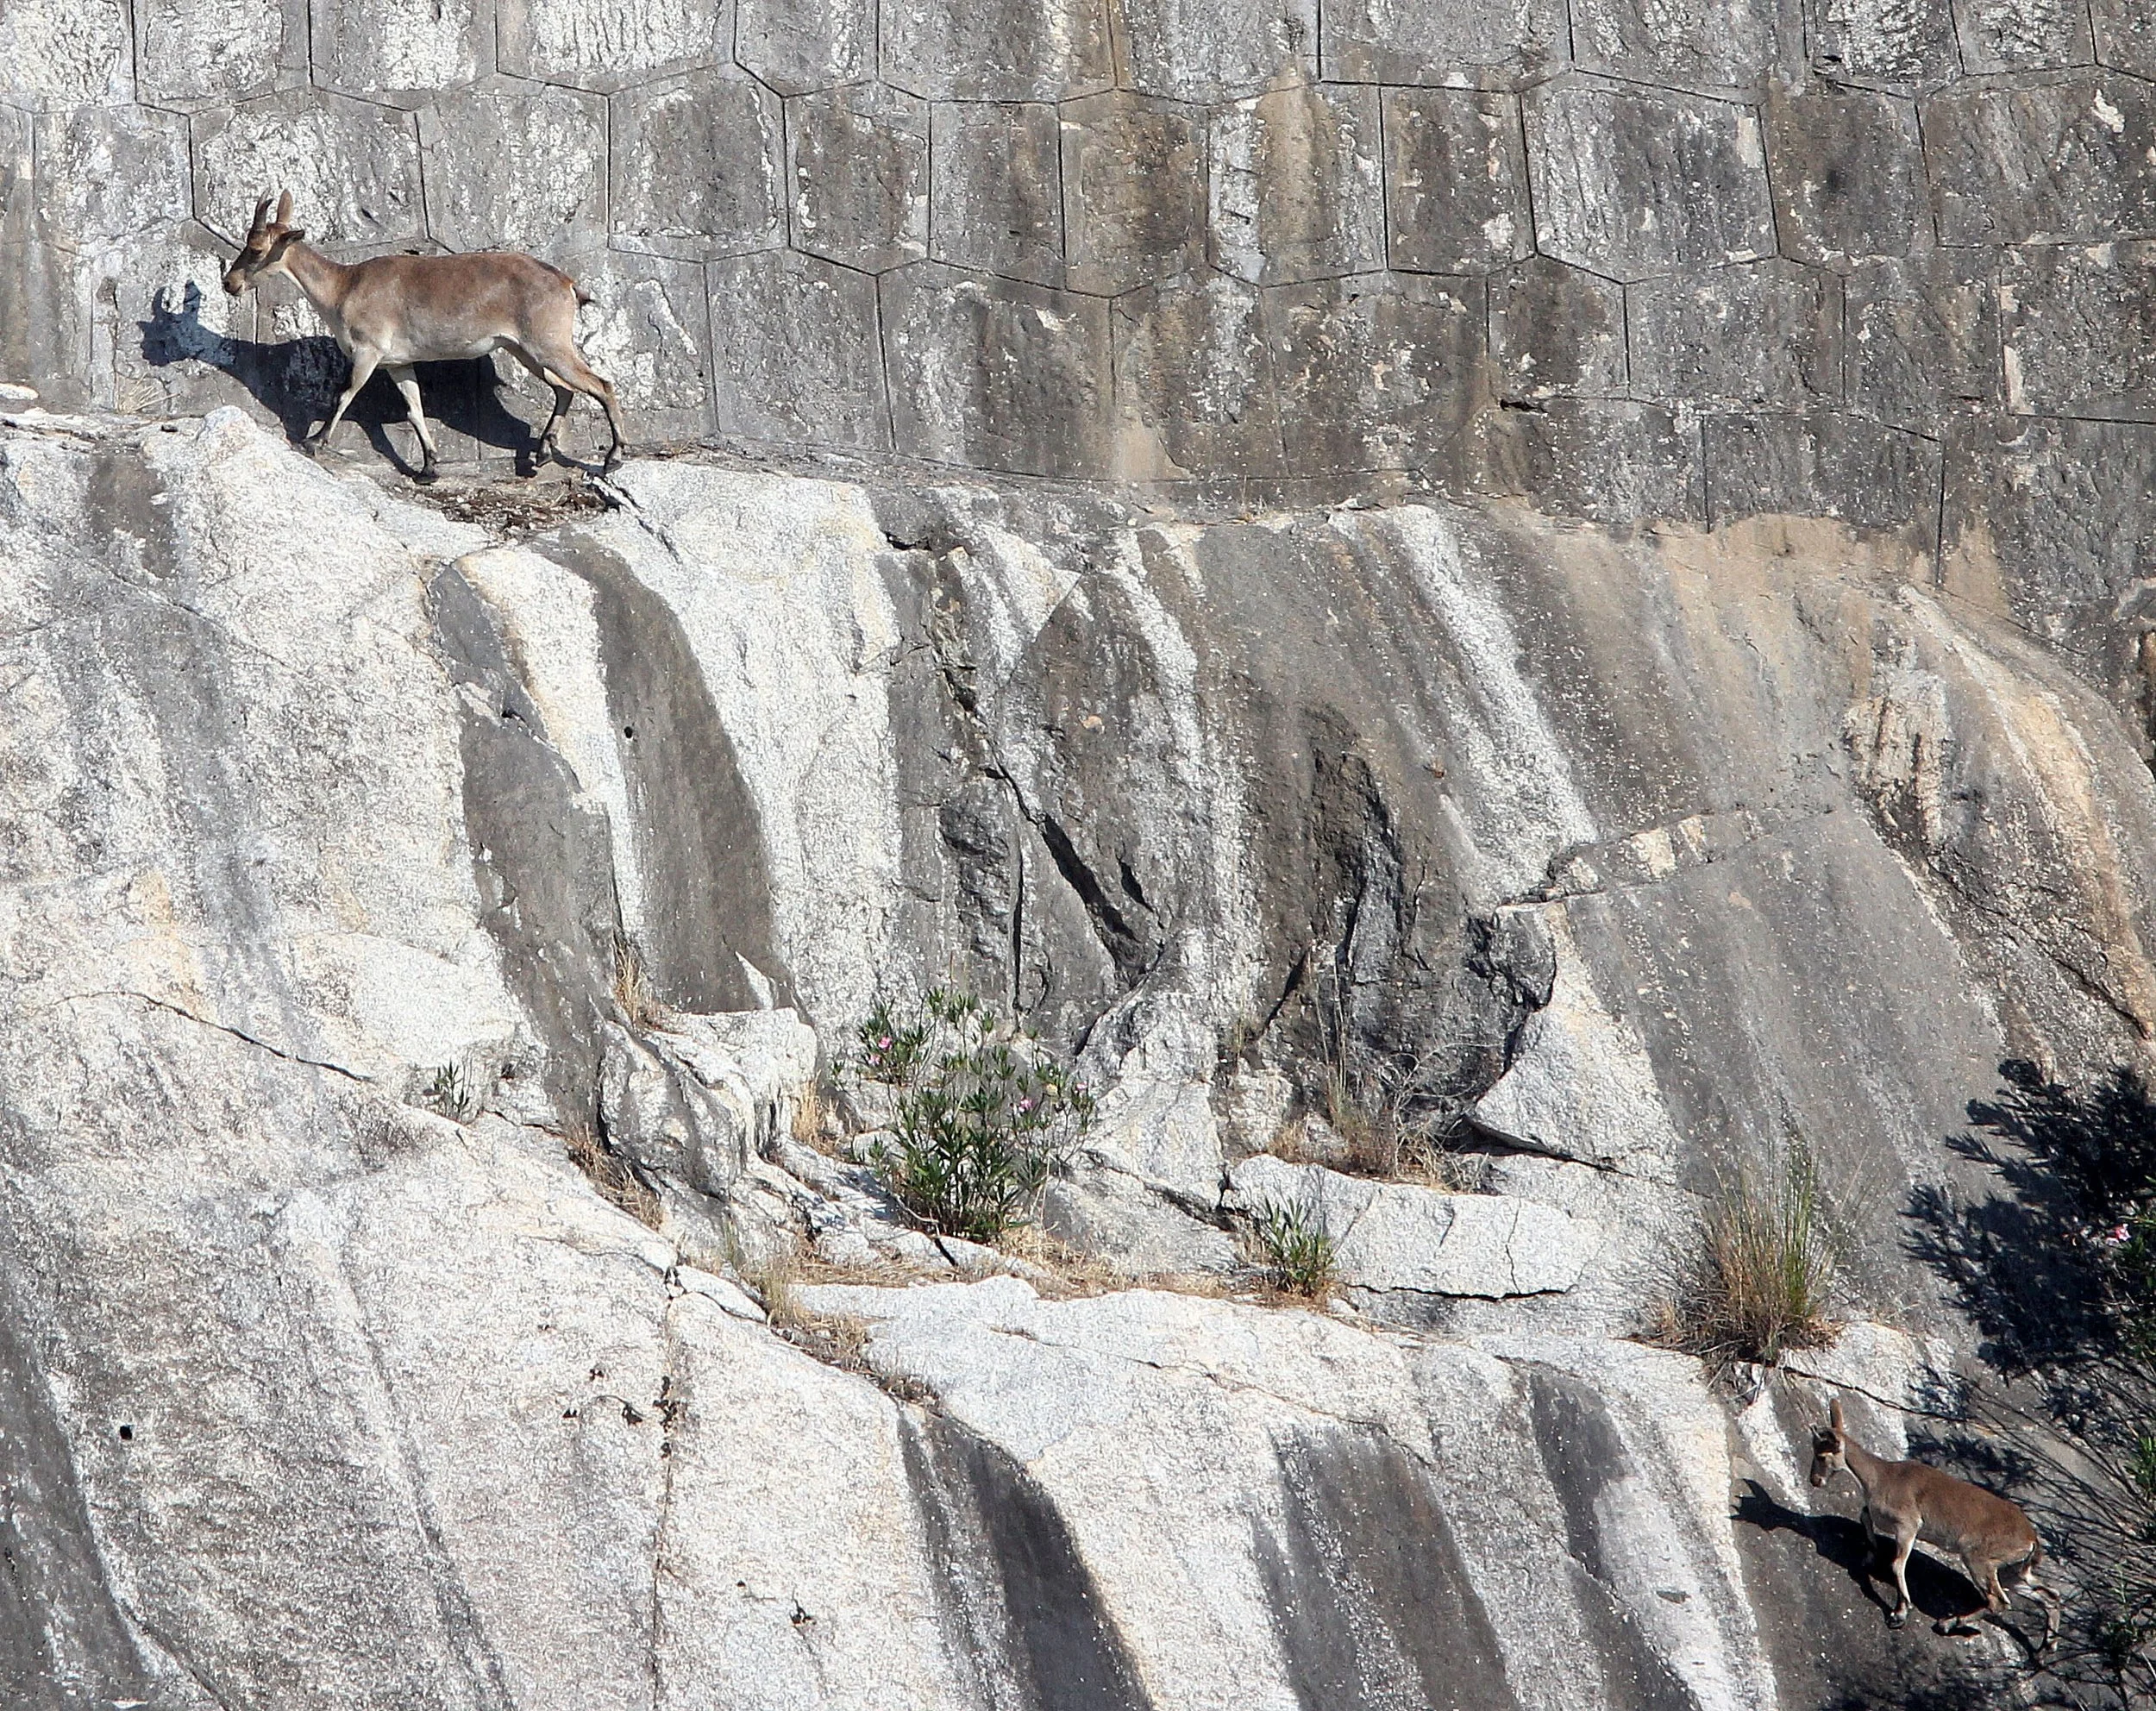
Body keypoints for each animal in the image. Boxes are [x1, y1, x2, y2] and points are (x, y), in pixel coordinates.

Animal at [220, 191, 624, 481]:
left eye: (255, 249)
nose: (229, 283)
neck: (343, 288)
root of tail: (567, 284)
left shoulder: (368, 352)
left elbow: (344, 395)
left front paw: (314, 441)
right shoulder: (398, 363)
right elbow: (414, 409)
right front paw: (429, 466)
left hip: (548, 344)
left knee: (601, 385)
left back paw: (613, 457)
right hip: (524, 349)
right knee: (565, 389)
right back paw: (541, 453)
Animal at [1809, 1394, 2060, 1650]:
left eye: (1821, 1455)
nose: (1814, 1480)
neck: (1880, 1477)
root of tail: (2031, 1540)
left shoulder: (1908, 1526)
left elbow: (1897, 1564)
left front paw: (1899, 1614)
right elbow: (1864, 1515)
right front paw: (1870, 1555)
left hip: (1978, 1558)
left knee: (1999, 1601)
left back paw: (1947, 1623)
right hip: (2013, 1571)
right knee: (2049, 1597)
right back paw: (2045, 1648)